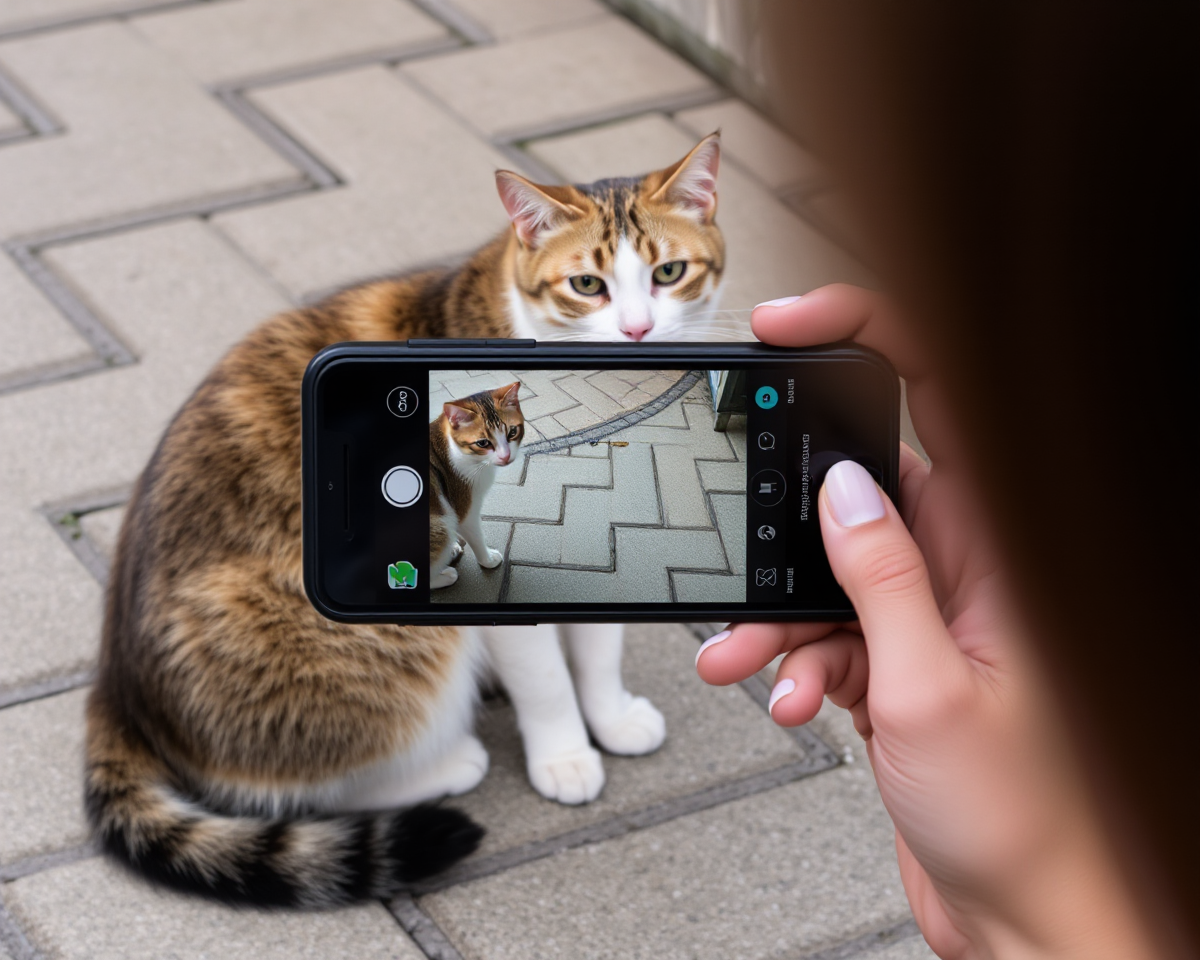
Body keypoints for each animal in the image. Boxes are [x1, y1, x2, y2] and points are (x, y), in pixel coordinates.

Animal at [432, 381, 525, 585]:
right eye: (483, 443)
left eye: (512, 432)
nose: (505, 456)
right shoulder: (463, 506)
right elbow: (476, 536)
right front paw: (488, 559)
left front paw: (456, 541)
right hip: (438, 523)